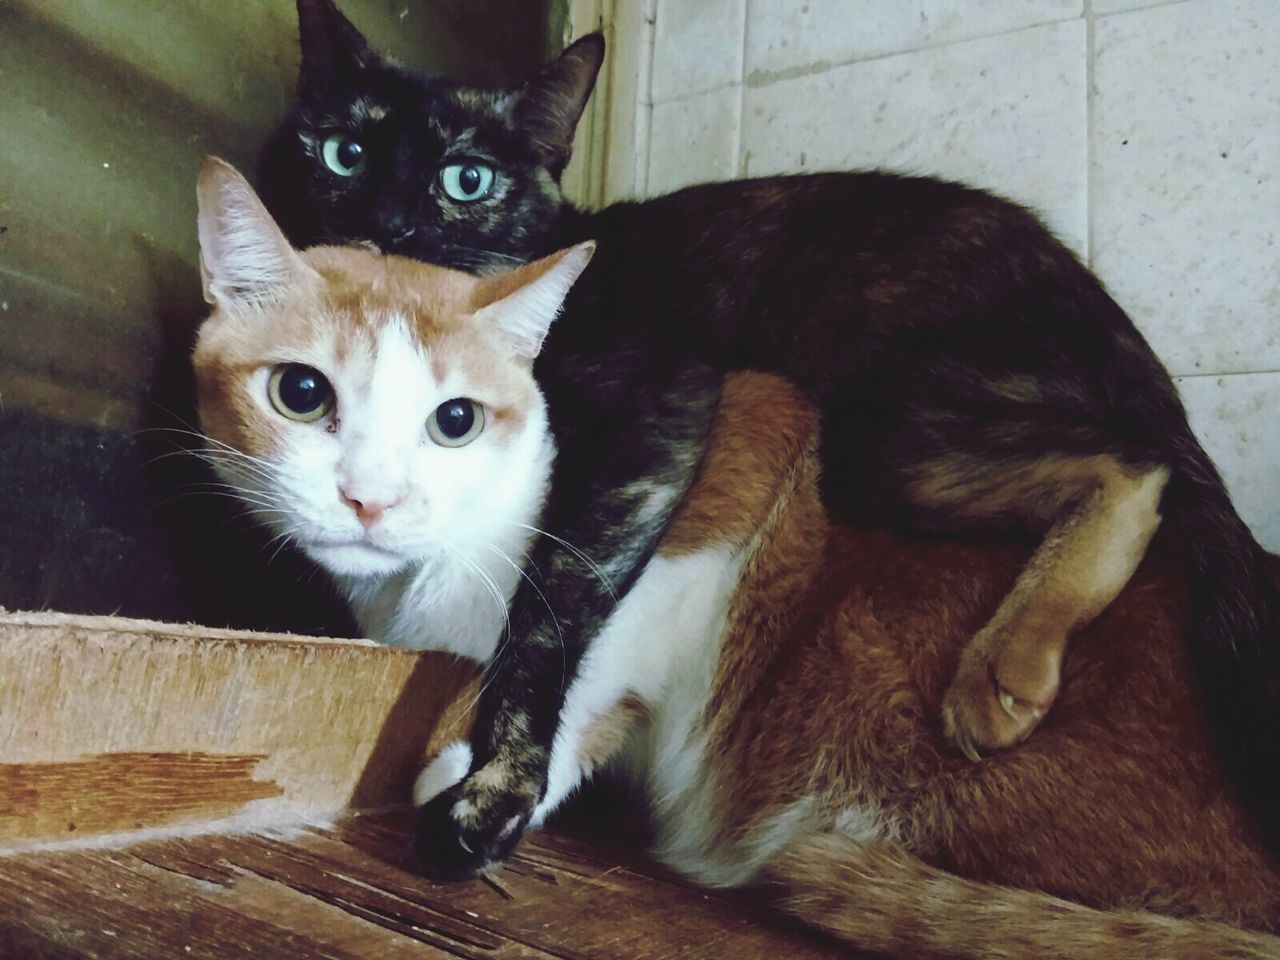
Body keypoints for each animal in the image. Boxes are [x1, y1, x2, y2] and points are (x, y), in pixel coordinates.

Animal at [259, 0, 1280, 880]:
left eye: (466, 179)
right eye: (344, 152)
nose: (387, 226)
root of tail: (1111, 319)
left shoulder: (659, 408)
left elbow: (548, 611)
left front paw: (494, 790)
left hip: (878, 426)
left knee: (1135, 466)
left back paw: (1001, 671)